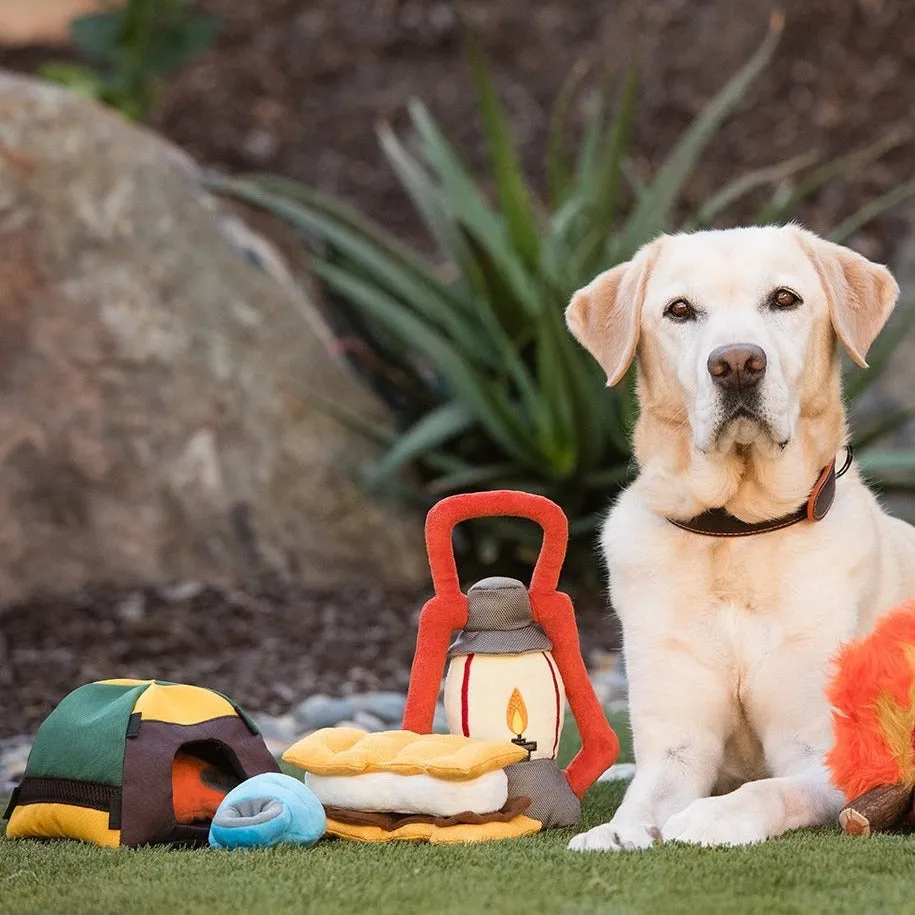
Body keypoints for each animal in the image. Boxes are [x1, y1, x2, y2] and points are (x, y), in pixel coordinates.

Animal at [564, 224, 915, 852]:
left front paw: (713, 815)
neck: (738, 531)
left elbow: (770, 790)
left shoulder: (826, 753)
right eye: (680, 310)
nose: (736, 363)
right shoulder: (677, 748)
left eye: (784, 299)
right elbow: (644, 797)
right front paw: (618, 832)